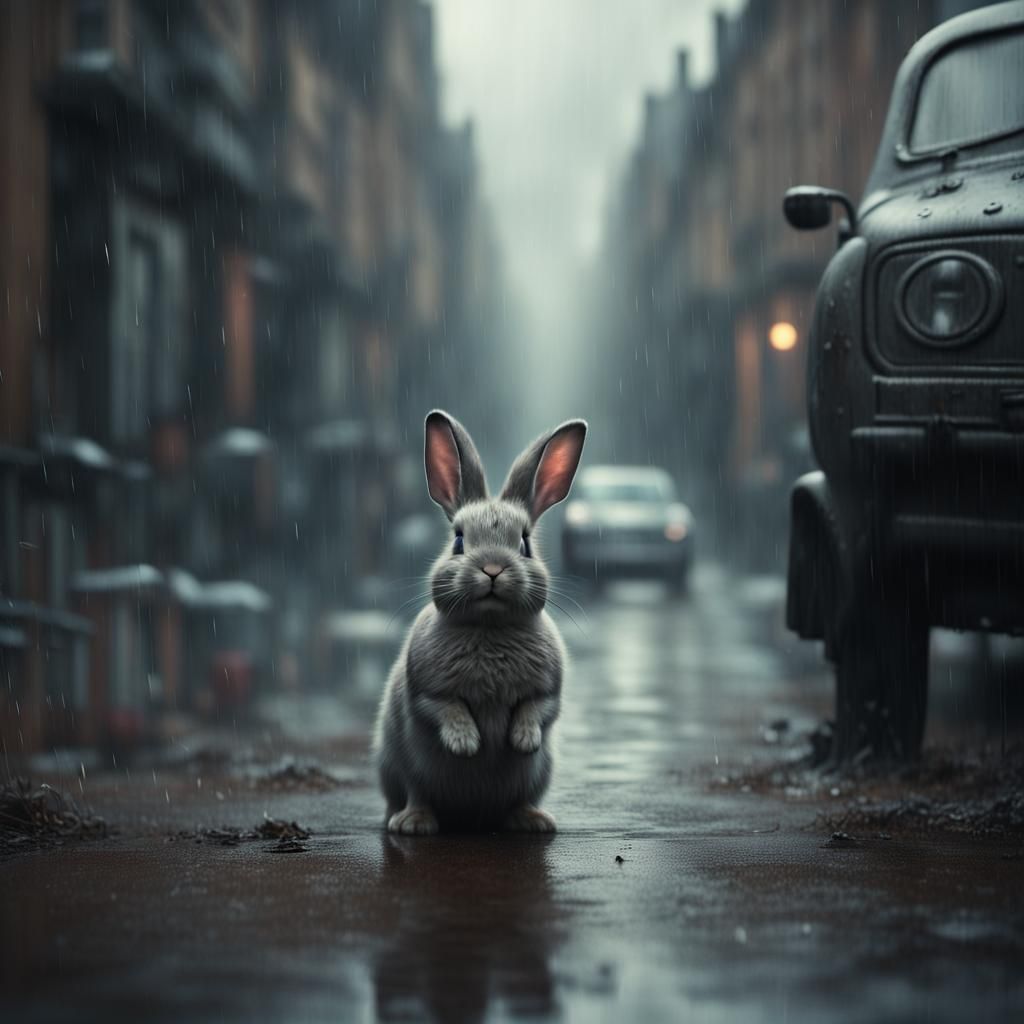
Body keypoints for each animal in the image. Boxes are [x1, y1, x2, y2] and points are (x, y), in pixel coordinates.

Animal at [373, 409, 587, 835]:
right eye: (458, 541)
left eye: (524, 544)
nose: (492, 568)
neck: (489, 627)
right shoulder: (427, 690)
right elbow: (445, 708)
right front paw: (466, 744)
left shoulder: (548, 690)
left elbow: (537, 708)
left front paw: (522, 740)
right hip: (403, 763)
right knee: (416, 793)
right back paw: (412, 823)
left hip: (536, 777)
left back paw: (534, 820)